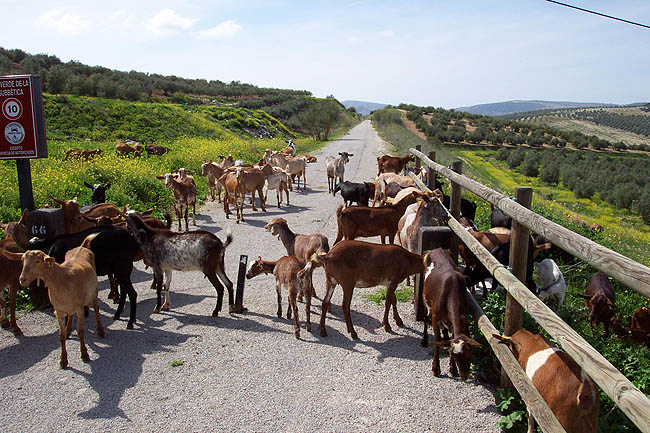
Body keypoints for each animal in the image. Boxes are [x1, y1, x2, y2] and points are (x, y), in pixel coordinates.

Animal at [3, 238, 105, 368]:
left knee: (96, 308)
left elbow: (80, 331)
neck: (62, 279)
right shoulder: (59, 311)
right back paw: (68, 330)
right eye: (22, 260)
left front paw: (85, 355)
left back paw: (101, 331)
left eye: (38, 261)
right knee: (70, 315)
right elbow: (60, 336)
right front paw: (63, 361)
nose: (22, 279)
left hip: (94, 292)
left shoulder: (80, 308)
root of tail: (81, 247)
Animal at [422, 248, 481, 381]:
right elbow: (437, 341)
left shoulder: (462, 316)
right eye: (454, 355)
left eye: (470, 354)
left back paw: (445, 335)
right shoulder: (435, 317)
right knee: (426, 317)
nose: (464, 376)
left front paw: (453, 369)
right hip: (426, 300)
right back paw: (424, 340)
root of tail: (436, 249)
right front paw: (436, 369)